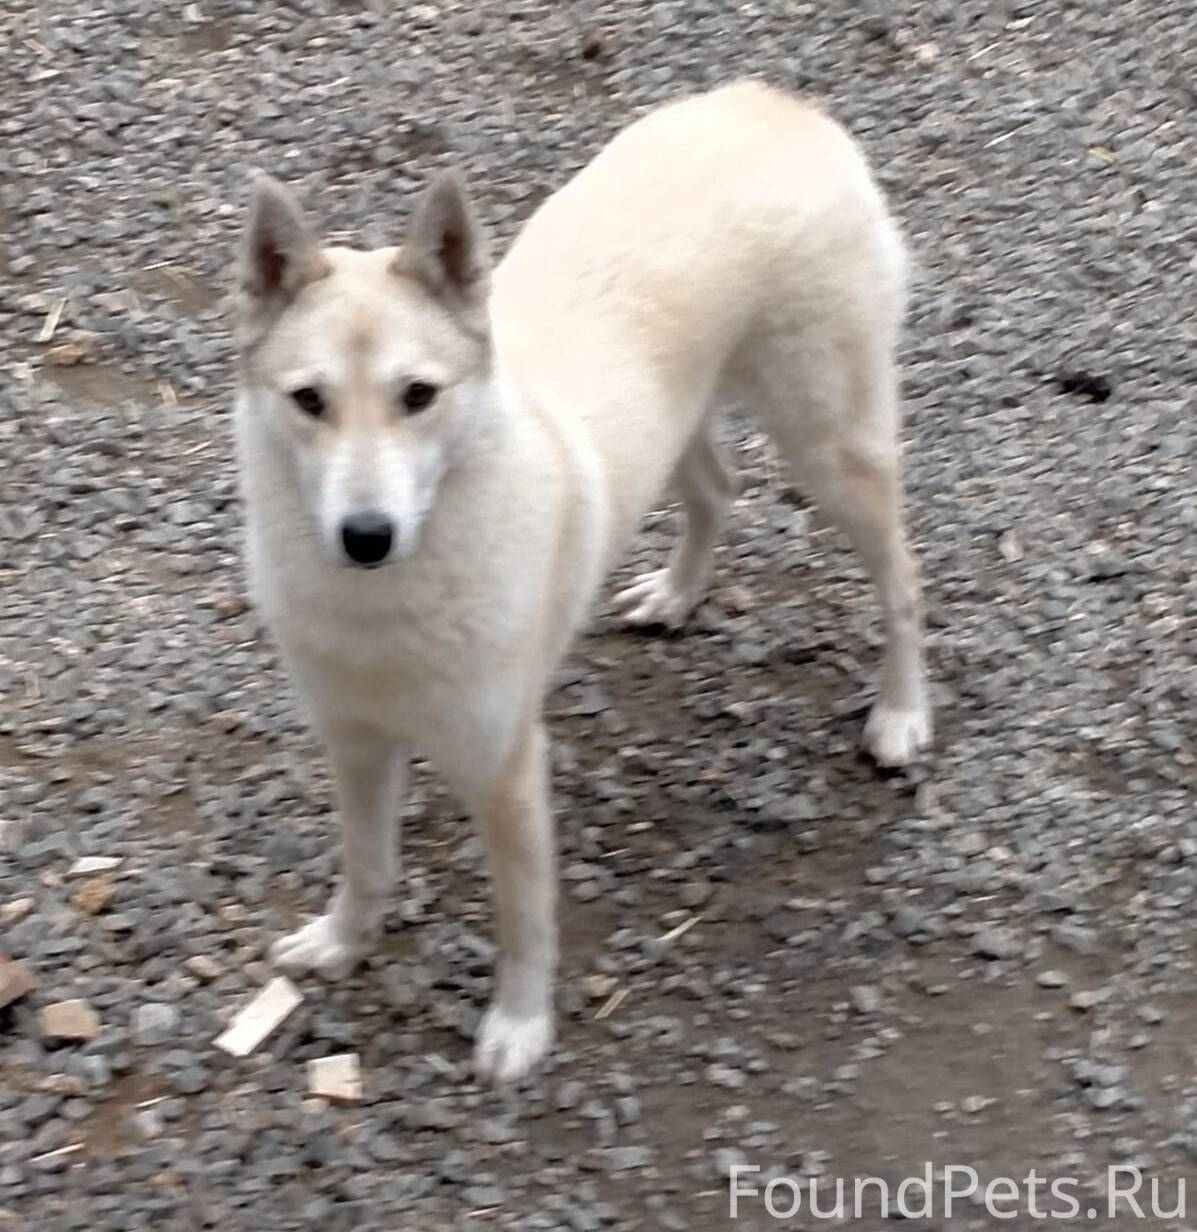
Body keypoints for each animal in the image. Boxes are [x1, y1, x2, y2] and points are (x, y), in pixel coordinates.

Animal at [231, 79, 926, 1079]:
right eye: (308, 401)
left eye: (418, 396)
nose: (365, 536)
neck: (390, 597)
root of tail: (772, 102)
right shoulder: (354, 744)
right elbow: (365, 865)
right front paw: (341, 944)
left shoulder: (506, 769)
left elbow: (524, 920)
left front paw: (518, 1030)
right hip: (681, 419)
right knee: (717, 490)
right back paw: (673, 596)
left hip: (831, 448)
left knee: (902, 577)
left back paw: (901, 715)